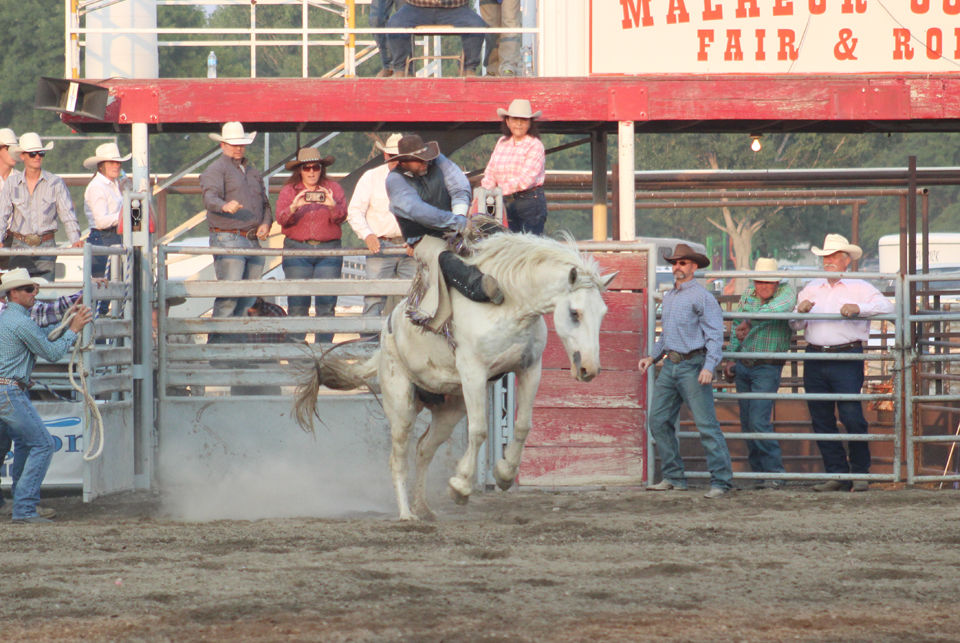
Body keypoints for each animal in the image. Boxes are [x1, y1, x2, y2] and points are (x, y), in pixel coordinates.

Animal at [292, 234, 620, 520]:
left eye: (604, 313)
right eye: (575, 313)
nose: (589, 368)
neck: (508, 304)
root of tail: (385, 340)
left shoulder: (529, 368)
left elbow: (523, 426)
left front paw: (504, 474)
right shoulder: (473, 372)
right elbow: (479, 431)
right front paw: (461, 486)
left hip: (449, 408)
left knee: (424, 449)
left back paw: (424, 508)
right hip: (401, 403)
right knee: (398, 457)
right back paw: (406, 514)